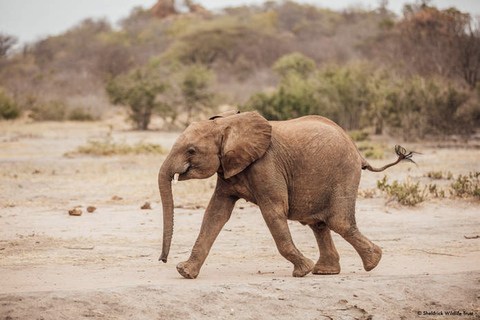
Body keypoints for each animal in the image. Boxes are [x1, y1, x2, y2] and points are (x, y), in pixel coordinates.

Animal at [157, 110, 412, 278]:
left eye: (191, 151)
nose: (162, 260)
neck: (226, 124)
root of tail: (359, 152)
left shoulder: (265, 165)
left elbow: (273, 212)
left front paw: (302, 270)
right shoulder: (229, 168)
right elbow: (215, 214)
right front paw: (185, 272)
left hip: (344, 172)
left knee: (338, 222)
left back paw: (372, 263)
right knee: (319, 224)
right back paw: (326, 271)